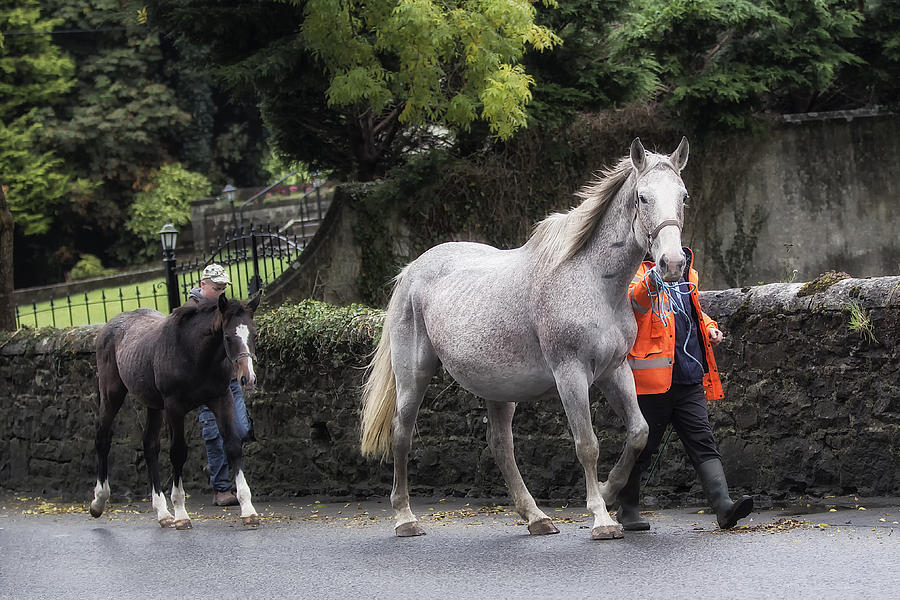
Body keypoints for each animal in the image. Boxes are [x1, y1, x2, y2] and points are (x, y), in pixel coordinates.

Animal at [358, 137, 688, 540]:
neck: (592, 281)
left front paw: (609, 490)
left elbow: (639, 433)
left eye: (683, 196)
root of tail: (411, 270)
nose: (673, 263)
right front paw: (601, 518)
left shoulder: (615, 371)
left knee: (501, 445)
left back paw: (536, 518)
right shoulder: (570, 375)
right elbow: (587, 445)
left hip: (498, 388)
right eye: (643, 197)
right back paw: (405, 518)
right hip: (413, 378)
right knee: (401, 435)